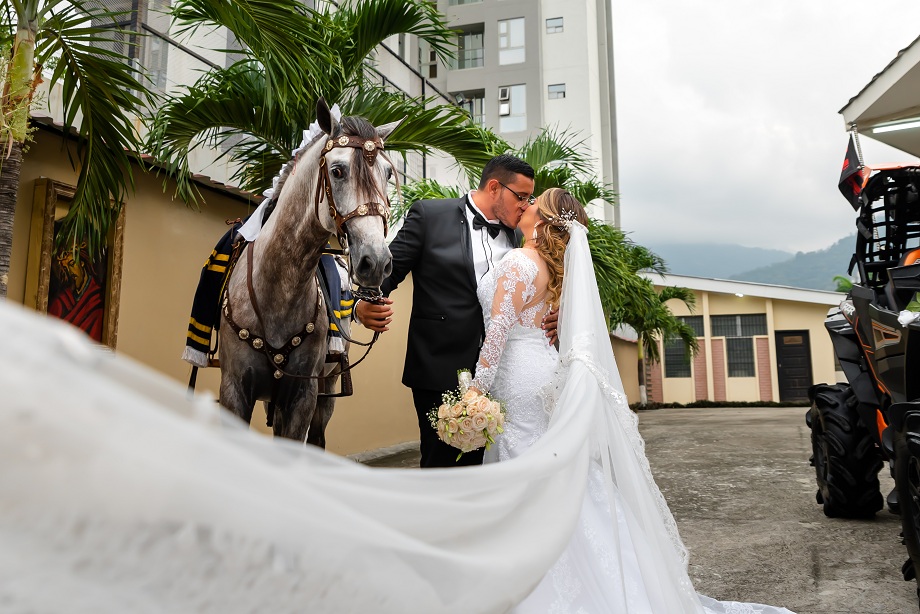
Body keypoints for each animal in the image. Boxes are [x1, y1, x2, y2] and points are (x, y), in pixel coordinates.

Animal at [221, 102, 400, 448]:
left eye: (387, 173)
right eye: (338, 170)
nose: (376, 262)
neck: (276, 291)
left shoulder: (304, 395)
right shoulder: (234, 390)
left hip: (326, 391)